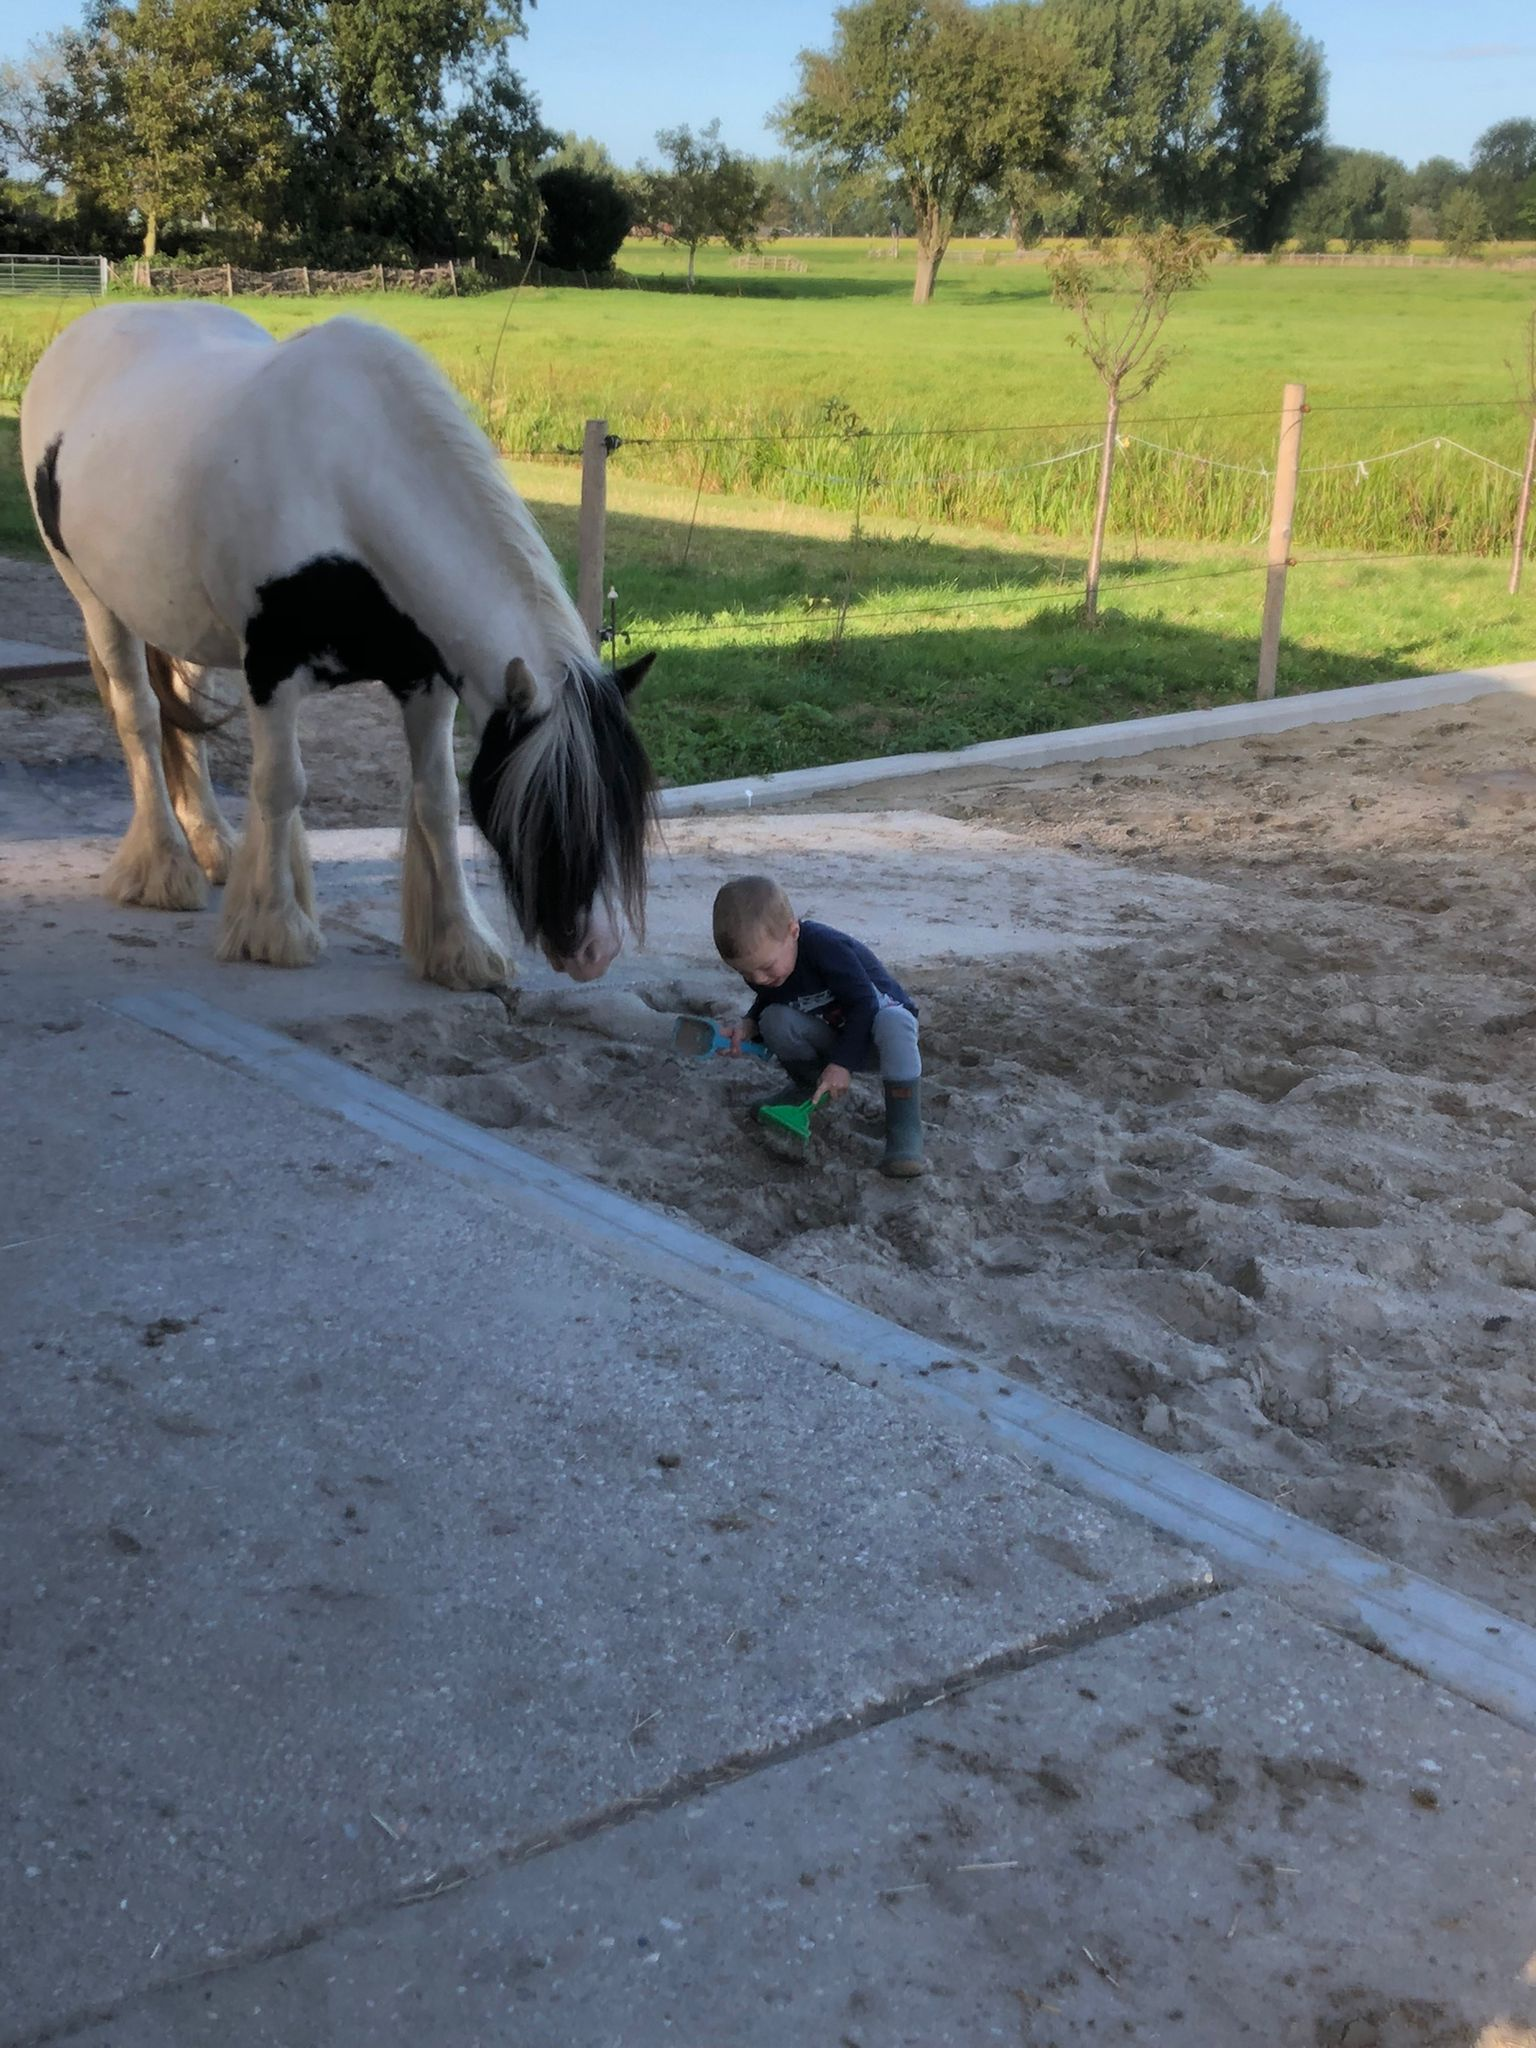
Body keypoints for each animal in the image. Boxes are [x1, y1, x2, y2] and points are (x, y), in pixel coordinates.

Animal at [19, 301, 655, 987]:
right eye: (543, 807)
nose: (594, 952)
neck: (348, 481)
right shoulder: (272, 672)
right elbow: (281, 786)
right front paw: (275, 928)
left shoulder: (426, 680)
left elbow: (437, 798)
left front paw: (460, 944)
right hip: (96, 601)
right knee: (139, 718)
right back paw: (164, 868)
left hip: (189, 626)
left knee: (185, 716)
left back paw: (215, 846)